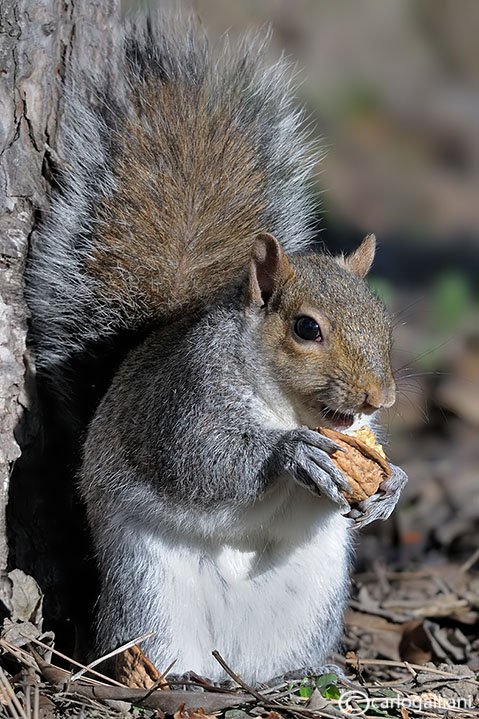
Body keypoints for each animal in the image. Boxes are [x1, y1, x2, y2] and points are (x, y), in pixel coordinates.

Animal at [26, 14, 406, 684]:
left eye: (384, 320)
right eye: (307, 329)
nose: (378, 398)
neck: (285, 404)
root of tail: (231, 669)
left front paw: (393, 486)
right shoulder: (184, 397)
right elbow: (200, 461)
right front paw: (291, 454)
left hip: (308, 596)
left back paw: (301, 676)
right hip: (148, 585)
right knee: (145, 638)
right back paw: (170, 675)